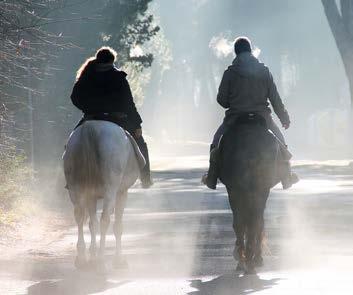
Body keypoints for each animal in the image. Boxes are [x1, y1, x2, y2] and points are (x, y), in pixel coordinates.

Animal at [62, 121, 140, 270]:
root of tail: (90, 128)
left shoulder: (91, 196)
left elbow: (92, 224)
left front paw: (92, 253)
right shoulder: (122, 192)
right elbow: (117, 226)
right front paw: (118, 260)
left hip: (76, 189)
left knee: (80, 217)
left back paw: (82, 258)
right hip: (110, 189)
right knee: (105, 220)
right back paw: (101, 261)